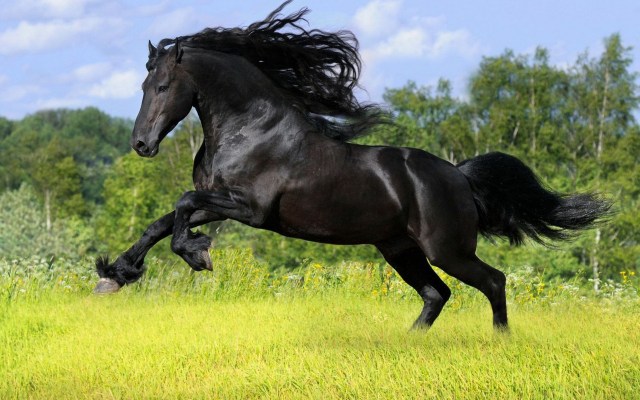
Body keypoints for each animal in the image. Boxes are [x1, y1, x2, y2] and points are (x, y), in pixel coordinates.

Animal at [94, 1, 610, 330]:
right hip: (400, 249)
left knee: (492, 282)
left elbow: (181, 206)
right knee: (436, 294)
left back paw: (499, 341)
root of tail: (459, 175)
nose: (141, 144)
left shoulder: (250, 209)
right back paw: (408, 345)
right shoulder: (220, 202)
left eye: (163, 86)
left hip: (447, 249)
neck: (250, 129)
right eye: (143, 86)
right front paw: (115, 275)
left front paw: (197, 255)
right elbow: (162, 221)